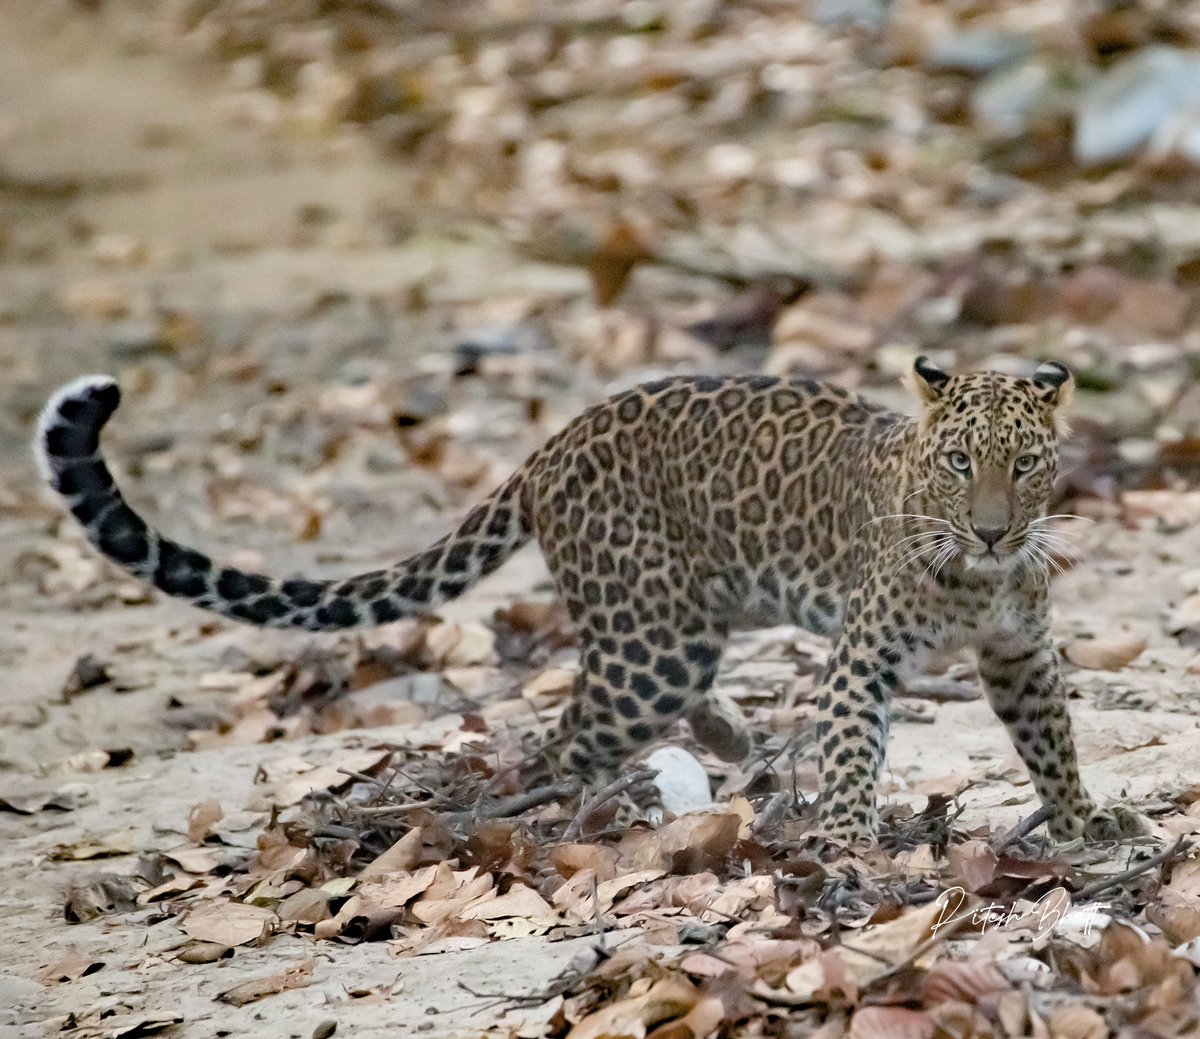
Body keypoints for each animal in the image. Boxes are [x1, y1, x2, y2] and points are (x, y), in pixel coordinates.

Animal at [35, 355, 1142, 844]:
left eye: (1026, 463)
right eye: (959, 463)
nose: (993, 529)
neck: (980, 577)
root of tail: (549, 448)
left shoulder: (1019, 651)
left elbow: (1051, 739)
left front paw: (1084, 820)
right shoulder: (861, 658)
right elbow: (852, 753)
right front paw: (842, 849)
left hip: (679, 627)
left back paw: (727, 739)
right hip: (648, 644)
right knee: (564, 735)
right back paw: (575, 816)